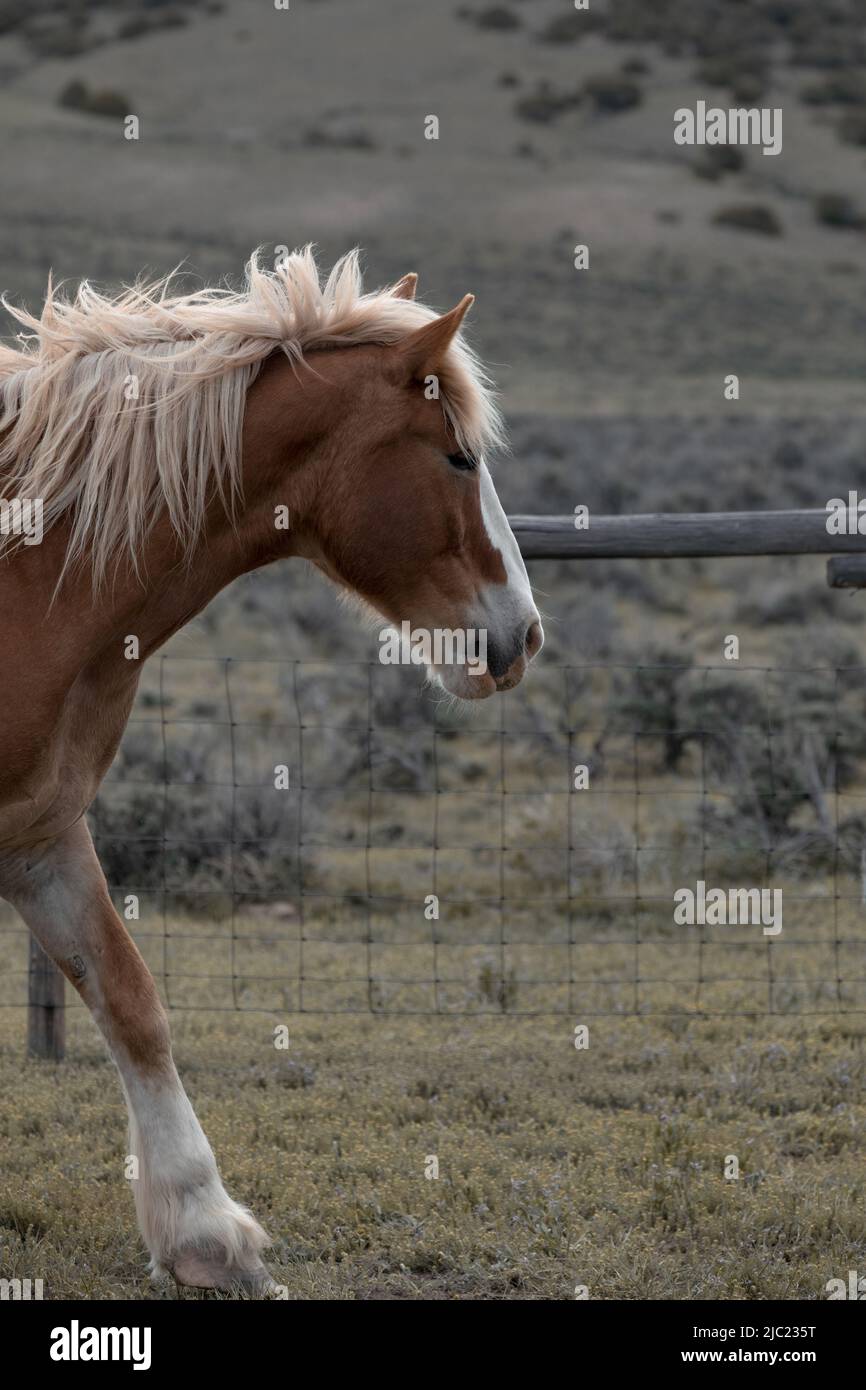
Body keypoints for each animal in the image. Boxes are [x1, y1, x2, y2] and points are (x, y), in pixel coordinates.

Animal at [0, 248, 543, 1292]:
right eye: (459, 455)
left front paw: (205, 1234)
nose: (524, 635)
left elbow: (131, 999)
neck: (26, 577)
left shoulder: (40, 833)